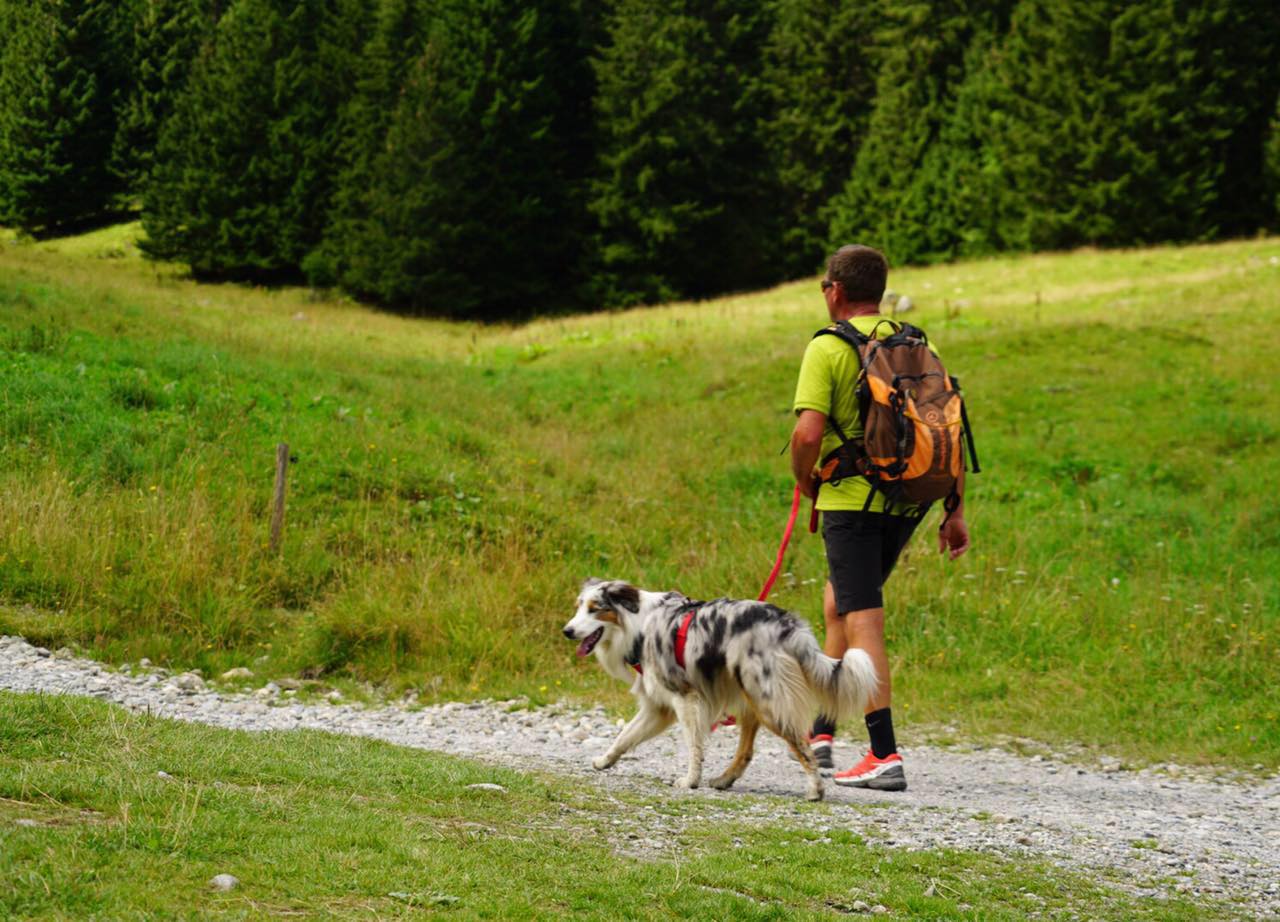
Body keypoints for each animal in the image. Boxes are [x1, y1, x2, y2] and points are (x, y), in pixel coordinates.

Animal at [568, 576, 880, 799]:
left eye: (594, 610)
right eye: (578, 607)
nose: (567, 631)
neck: (637, 625)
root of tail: (787, 624)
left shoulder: (685, 698)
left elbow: (693, 746)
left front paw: (690, 780)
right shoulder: (658, 707)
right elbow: (624, 737)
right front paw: (604, 761)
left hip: (768, 701)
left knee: (802, 745)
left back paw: (816, 790)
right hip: (750, 697)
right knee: (746, 752)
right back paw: (723, 779)